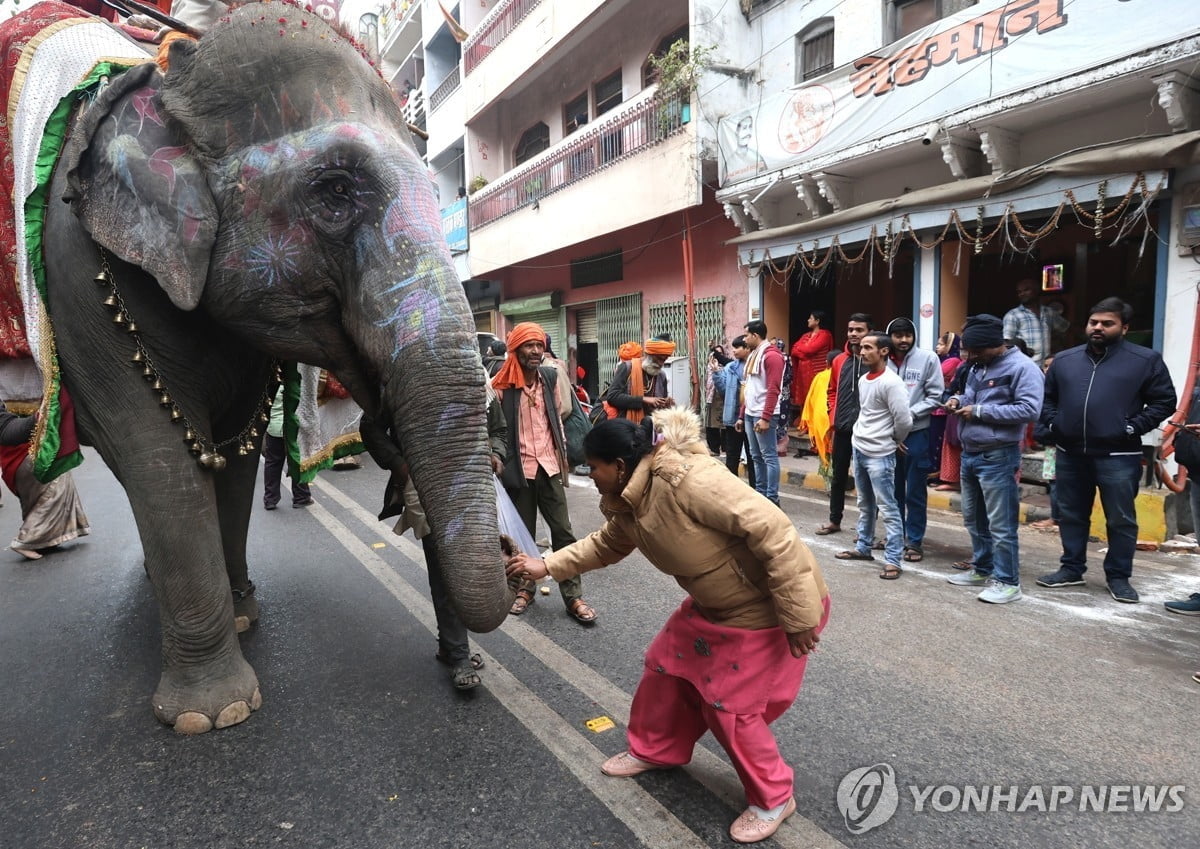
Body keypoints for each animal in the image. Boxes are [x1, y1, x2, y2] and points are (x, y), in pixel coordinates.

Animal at [31, 1, 511, 729]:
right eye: (335, 189)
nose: (384, 415)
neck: (171, 79)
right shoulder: (80, 273)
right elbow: (156, 451)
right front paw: (214, 714)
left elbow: (233, 450)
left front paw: (245, 616)